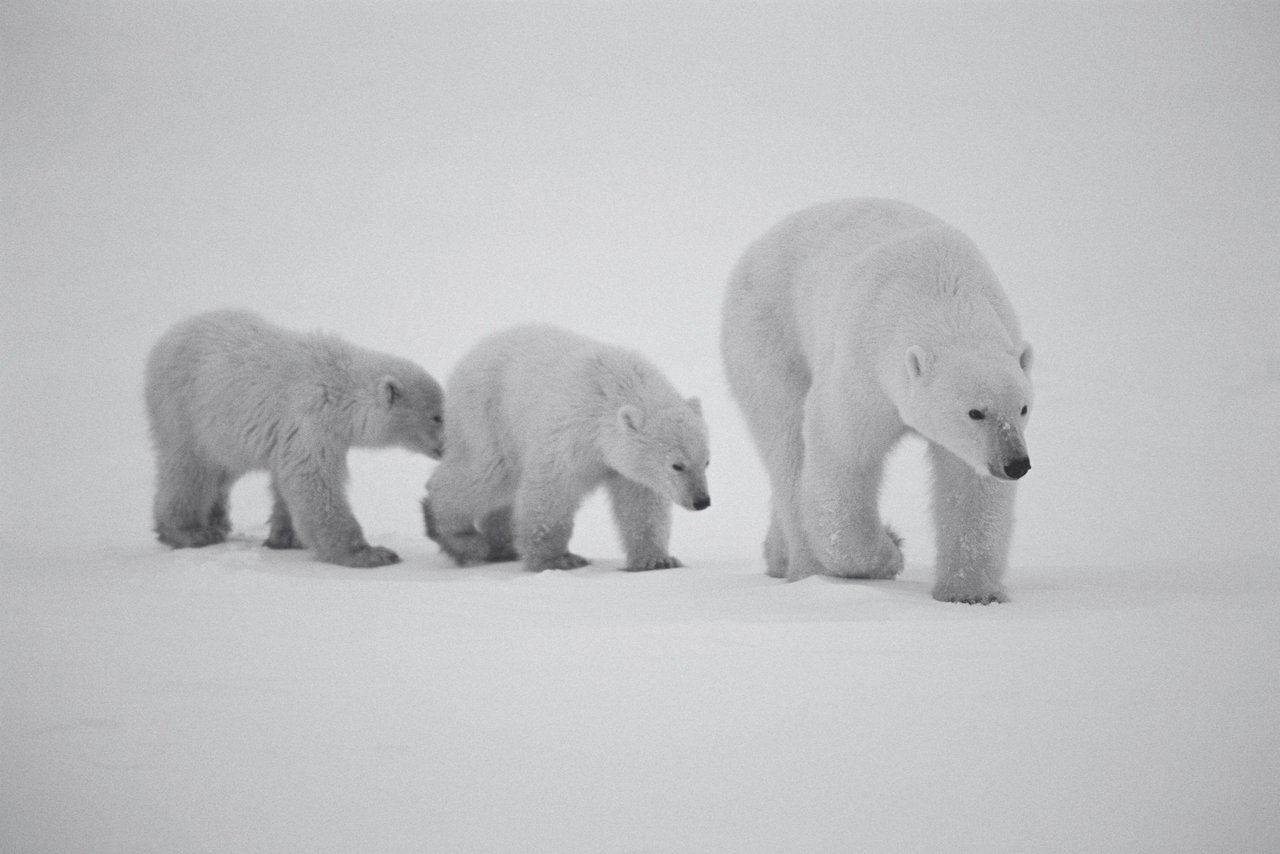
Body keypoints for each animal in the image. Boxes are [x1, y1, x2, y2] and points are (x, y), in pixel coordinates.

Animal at [727, 198, 1034, 604]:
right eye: (975, 412)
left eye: (1023, 408)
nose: (1016, 464)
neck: (939, 286)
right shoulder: (863, 367)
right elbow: (841, 458)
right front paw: (889, 551)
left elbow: (970, 484)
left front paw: (972, 593)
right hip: (769, 333)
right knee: (787, 443)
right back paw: (807, 569)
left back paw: (778, 557)